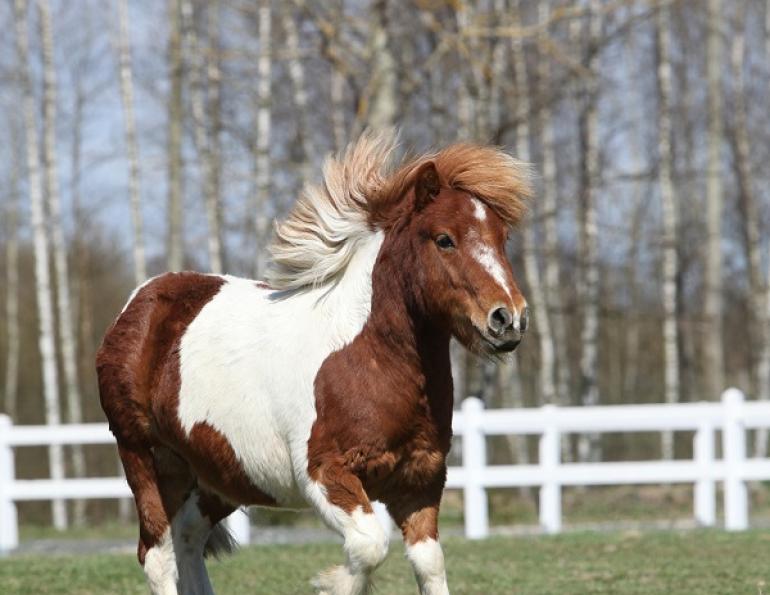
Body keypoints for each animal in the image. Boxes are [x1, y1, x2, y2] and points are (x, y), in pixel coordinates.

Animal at [96, 130, 532, 595]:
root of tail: (137, 305)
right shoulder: (325, 477)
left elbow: (430, 565)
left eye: (503, 239)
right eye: (445, 239)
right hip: (146, 458)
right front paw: (330, 582)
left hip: (221, 476)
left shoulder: (421, 482)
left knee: (188, 538)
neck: (367, 360)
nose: (508, 319)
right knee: (158, 555)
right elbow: (369, 547)